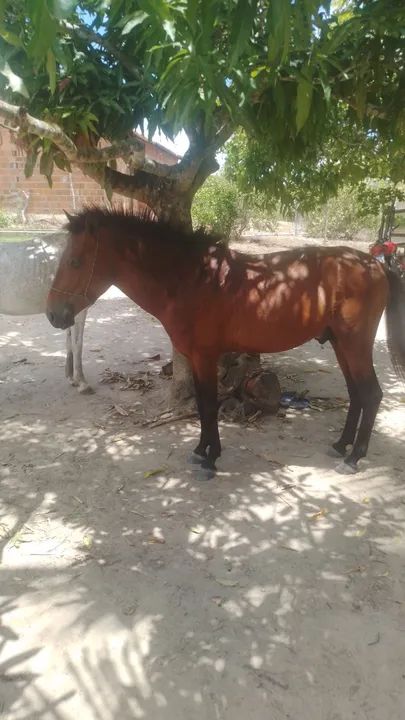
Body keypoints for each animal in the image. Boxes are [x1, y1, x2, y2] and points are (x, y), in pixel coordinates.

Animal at [46, 207, 405, 478]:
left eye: (75, 261)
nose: (53, 314)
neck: (193, 279)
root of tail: (374, 265)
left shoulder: (205, 356)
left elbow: (208, 405)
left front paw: (209, 459)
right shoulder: (194, 357)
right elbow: (203, 404)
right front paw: (201, 450)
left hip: (355, 344)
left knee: (371, 394)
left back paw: (353, 458)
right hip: (340, 344)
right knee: (356, 394)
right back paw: (341, 446)